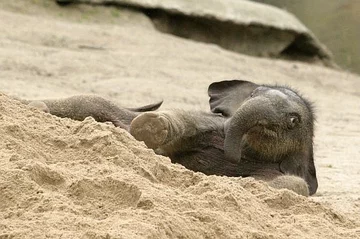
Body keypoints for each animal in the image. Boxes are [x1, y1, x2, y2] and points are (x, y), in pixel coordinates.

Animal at [23, 80, 318, 196]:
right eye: (253, 95)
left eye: (293, 121)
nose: (232, 153)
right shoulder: (214, 123)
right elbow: (185, 123)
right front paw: (150, 127)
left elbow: (293, 185)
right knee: (94, 101)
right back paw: (35, 107)